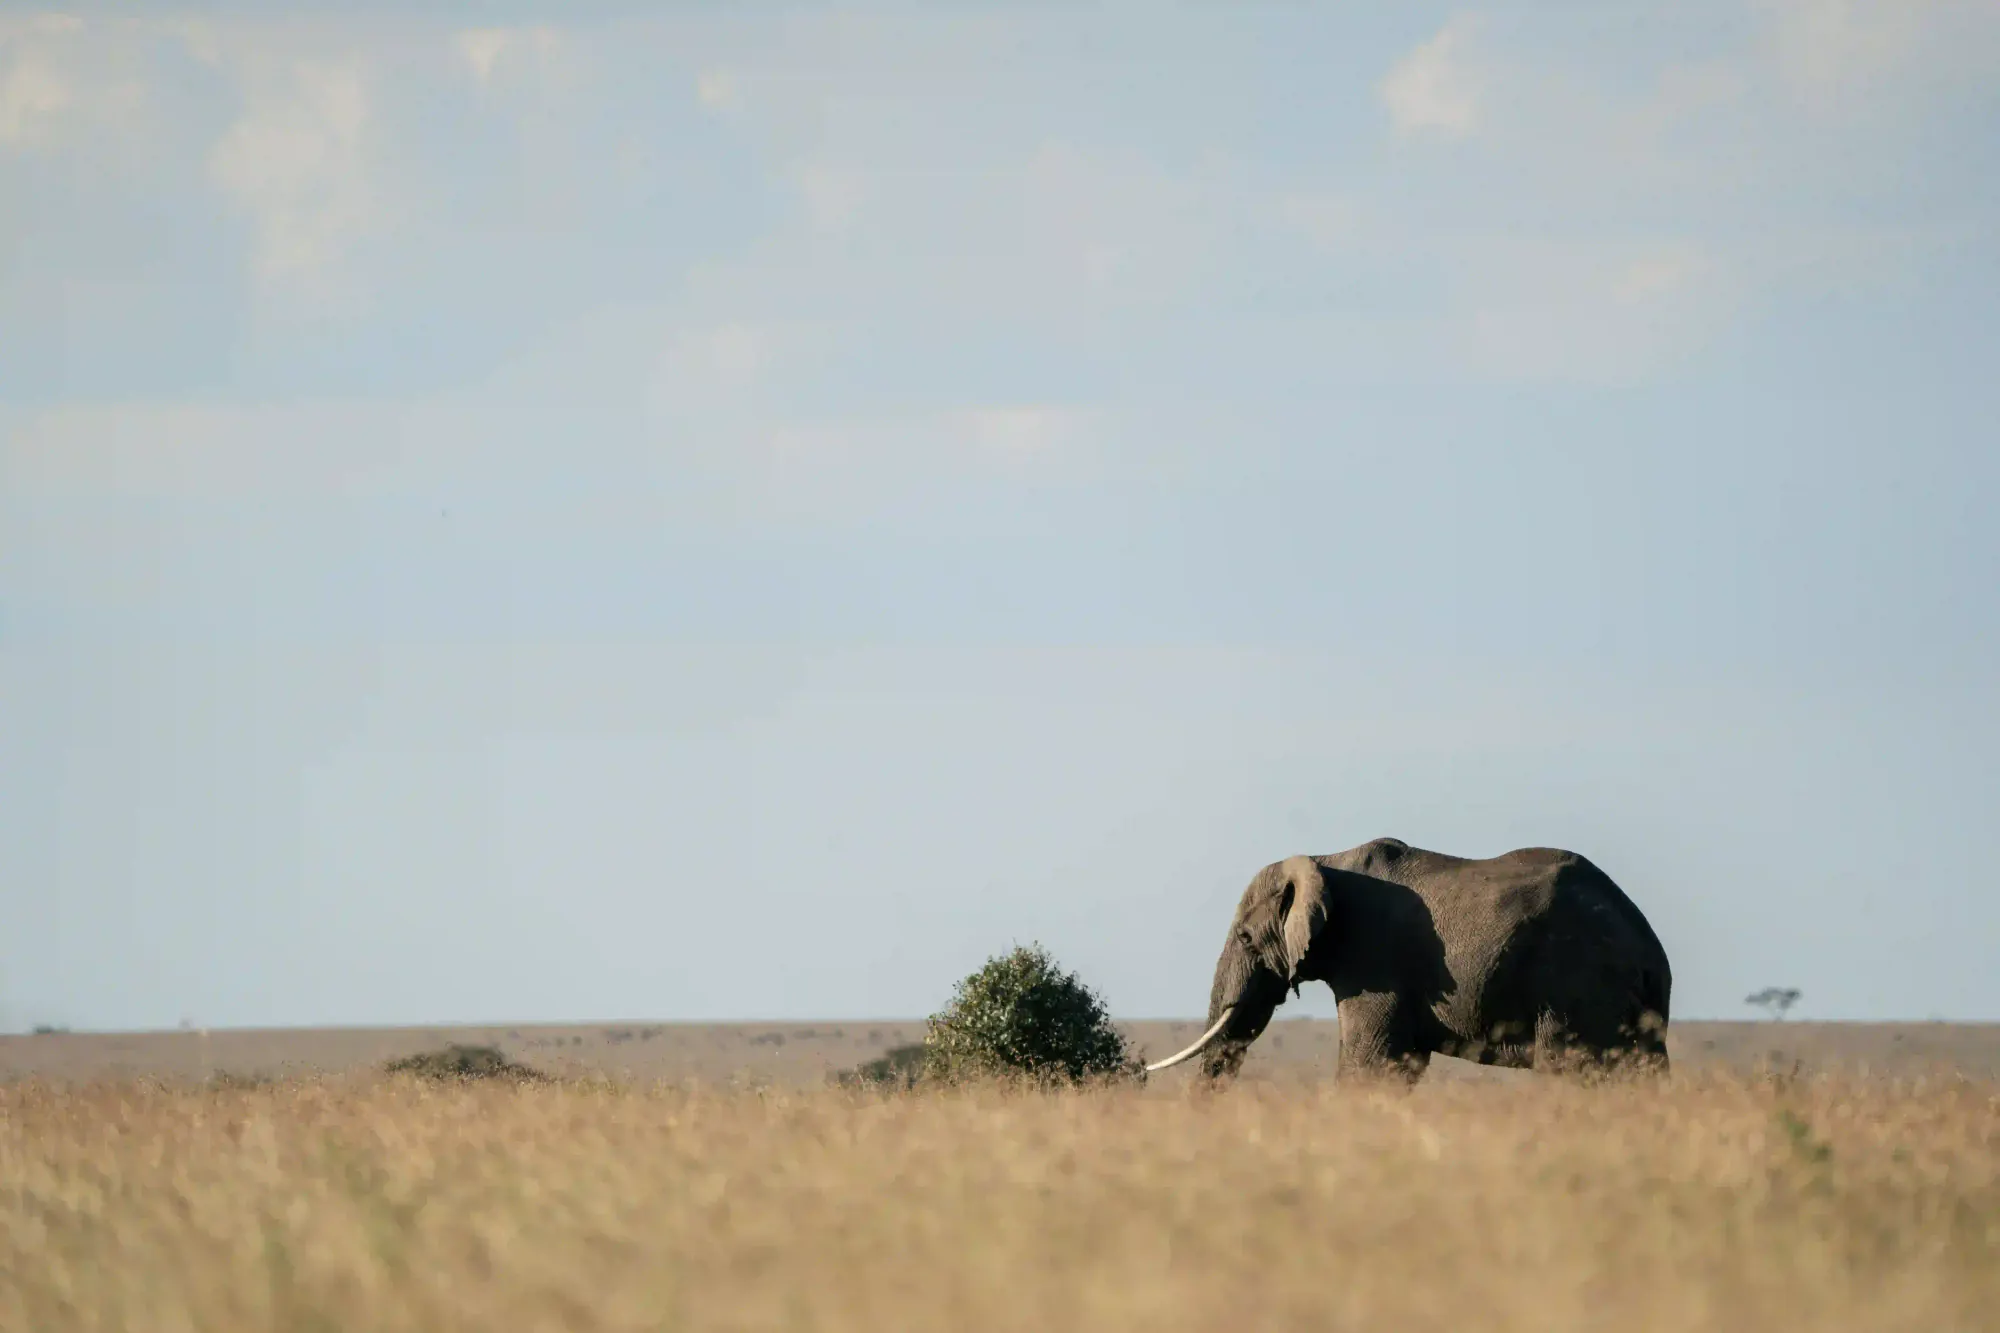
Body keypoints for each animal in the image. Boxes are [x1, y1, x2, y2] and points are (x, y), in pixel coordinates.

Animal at [1146, 838, 1672, 1083]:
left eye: (1245, 937)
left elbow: (1373, 1064)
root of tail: (1651, 951)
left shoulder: (1375, 957)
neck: (1325, 858)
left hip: (1580, 985)